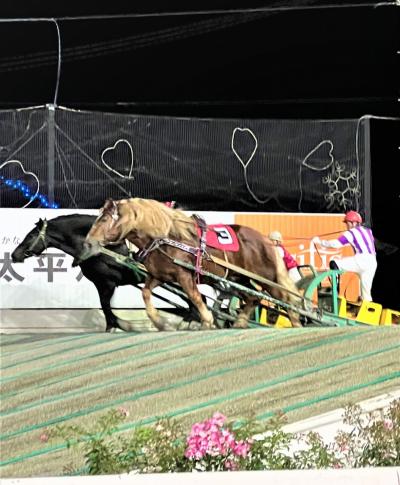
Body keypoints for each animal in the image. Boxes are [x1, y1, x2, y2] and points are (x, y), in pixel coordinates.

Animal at [10, 214, 146, 330]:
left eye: (31, 236)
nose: (14, 255)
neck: (101, 250)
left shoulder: (108, 283)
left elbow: (106, 308)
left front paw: (121, 325)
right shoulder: (100, 284)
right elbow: (106, 308)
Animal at [81, 197, 300, 328]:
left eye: (103, 220)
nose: (87, 243)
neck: (165, 237)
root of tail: (265, 240)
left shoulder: (184, 275)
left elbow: (195, 297)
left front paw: (207, 321)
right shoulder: (160, 275)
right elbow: (146, 293)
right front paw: (159, 321)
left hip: (267, 278)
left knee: (286, 300)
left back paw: (297, 324)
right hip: (239, 278)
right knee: (253, 297)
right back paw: (240, 322)